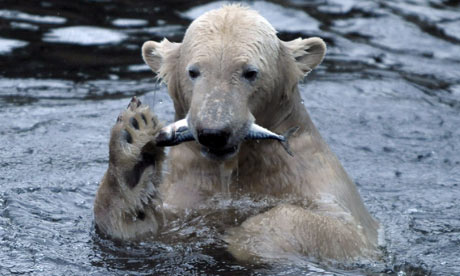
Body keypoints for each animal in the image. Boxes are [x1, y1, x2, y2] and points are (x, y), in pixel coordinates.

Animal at [93, 4, 380, 264]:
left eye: (250, 72)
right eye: (193, 71)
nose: (214, 132)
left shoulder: (316, 179)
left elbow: (344, 232)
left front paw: (246, 237)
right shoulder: (187, 194)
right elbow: (139, 231)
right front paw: (135, 142)